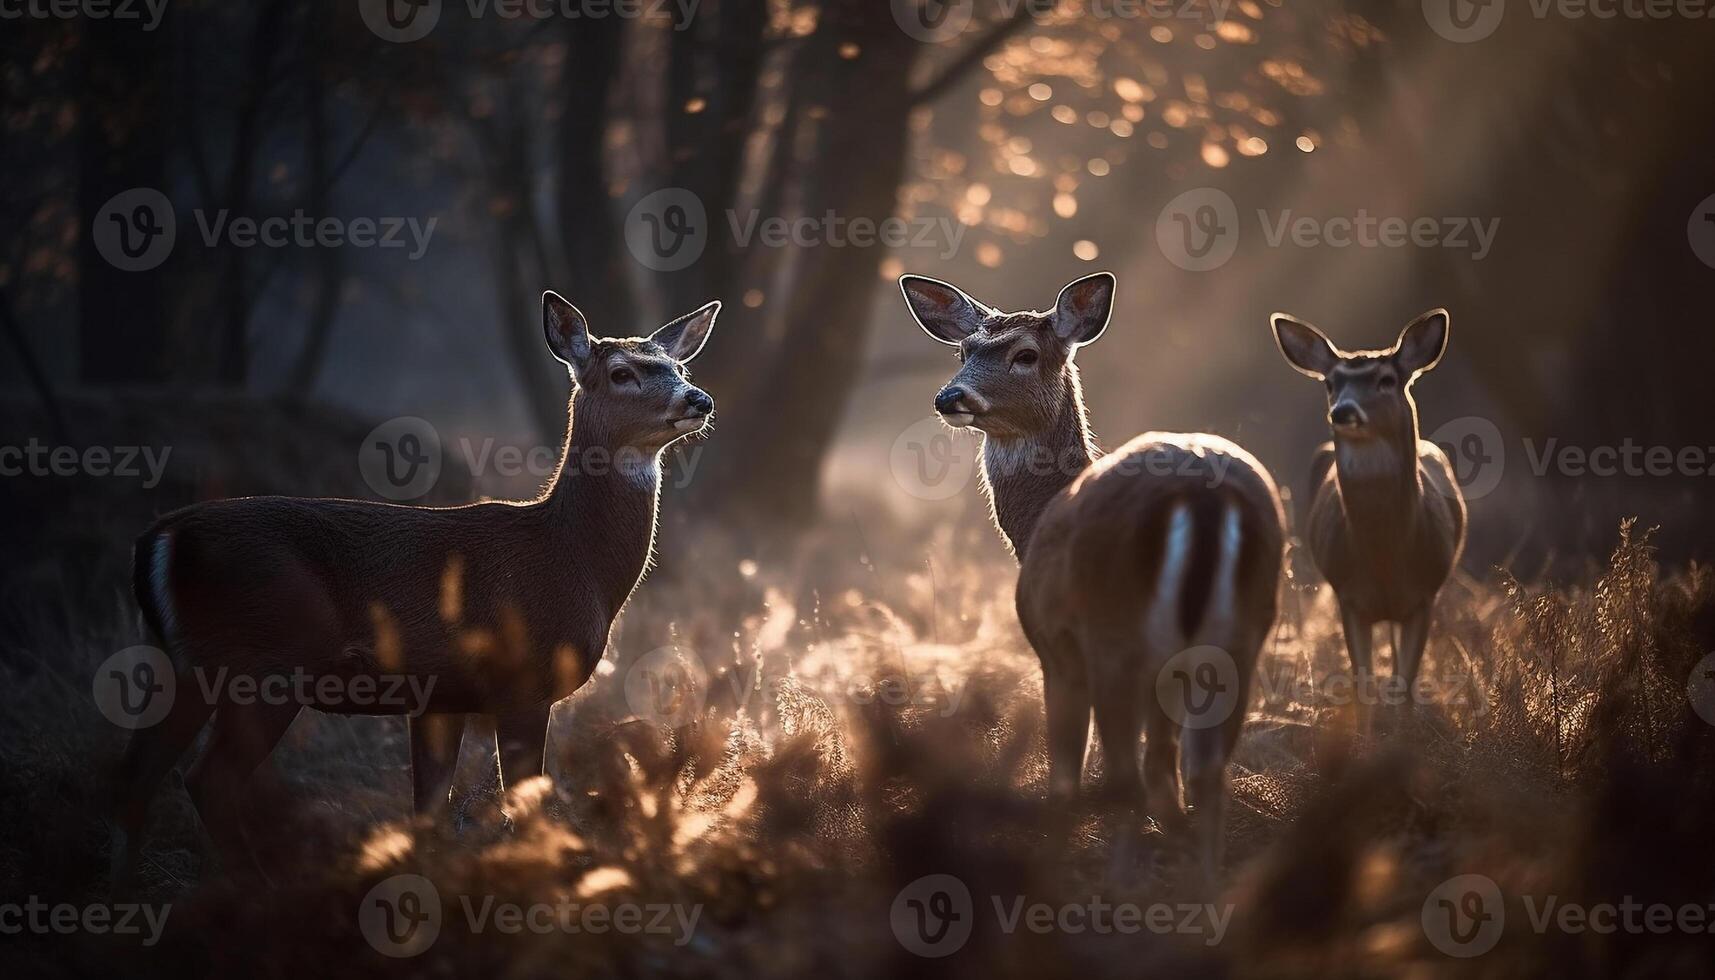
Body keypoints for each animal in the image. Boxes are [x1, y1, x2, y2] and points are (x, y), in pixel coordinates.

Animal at [112, 291, 716, 878]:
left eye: (678, 365)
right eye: (621, 372)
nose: (698, 399)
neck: (574, 562)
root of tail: (157, 540)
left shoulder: (439, 697)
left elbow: (429, 812)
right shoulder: (522, 679)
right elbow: (524, 803)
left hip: (182, 666)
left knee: (133, 778)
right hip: (265, 665)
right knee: (206, 779)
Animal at [898, 272, 1289, 878]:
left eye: (1025, 354)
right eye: (964, 350)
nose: (950, 397)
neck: (1035, 522)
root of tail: (1203, 495)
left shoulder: (1055, 646)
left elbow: (1067, 777)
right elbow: (1165, 769)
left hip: (1115, 634)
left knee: (1127, 778)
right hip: (1241, 635)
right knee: (1199, 774)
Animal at [1269, 310, 1468, 731]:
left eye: (1387, 379)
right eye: (1331, 383)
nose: (1343, 411)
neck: (1385, 557)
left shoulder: (1424, 595)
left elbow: (1404, 687)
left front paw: (1403, 737)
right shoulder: (1349, 596)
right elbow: (1364, 687)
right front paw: (1367, 741)